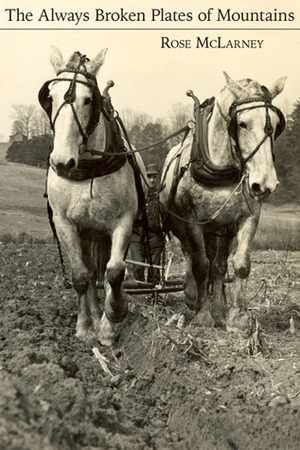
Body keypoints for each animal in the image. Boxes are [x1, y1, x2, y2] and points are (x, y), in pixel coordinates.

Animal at [38, 47, 146, 344]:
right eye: (50, 97)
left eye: (88, 100)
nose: (62, 162)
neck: (88, 167)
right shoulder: (64, 223)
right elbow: (79, 275)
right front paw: (85, 326)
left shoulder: (123, 221)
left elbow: (115, 272)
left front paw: (113, 318)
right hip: (86, 233)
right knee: (89, 271)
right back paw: (95, 316)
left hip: (102, 233)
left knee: (101, 272)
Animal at [161, 73, 288, 334]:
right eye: (242, 124)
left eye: (276, 125)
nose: (266, 184)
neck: (218, 167)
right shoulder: (192, 221)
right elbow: (200, 265)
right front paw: (202, 315)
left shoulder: (245, 218)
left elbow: (236, 265)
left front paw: (235, 317)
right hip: (181, 226)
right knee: (189, 255)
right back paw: (193, 296)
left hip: (219, 229)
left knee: (217, 264)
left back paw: (217, 305)